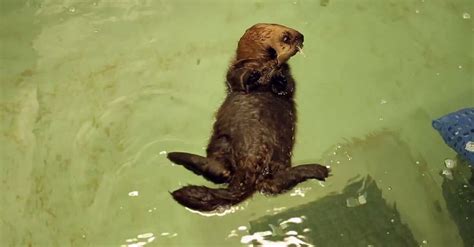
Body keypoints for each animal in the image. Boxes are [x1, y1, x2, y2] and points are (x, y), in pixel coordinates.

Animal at [167, 23, 330, 212]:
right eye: (286, 37)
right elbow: (238, 79)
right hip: (222, 143)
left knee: (269, 183)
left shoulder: (289, 81)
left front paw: (278, 75)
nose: (302, 36)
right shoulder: (234, 72)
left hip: (277, 158)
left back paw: (318, 170)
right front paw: (253, 74)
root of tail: (251, 164)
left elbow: (287, 86)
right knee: (227, 173)